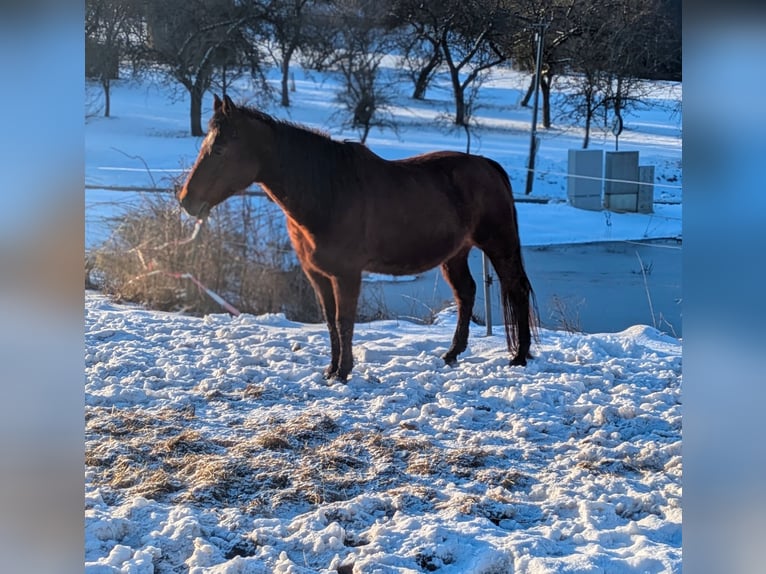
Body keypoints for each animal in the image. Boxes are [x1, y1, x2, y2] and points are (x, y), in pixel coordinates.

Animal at [178, 94, 538, 381]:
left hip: (499, 245)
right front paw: (330, 370)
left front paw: (343, 372)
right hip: (455, 254)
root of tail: (488, 165)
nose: (186, 200)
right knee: (466, 294)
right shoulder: (318, 275)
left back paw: (519, 357)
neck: (328, 192)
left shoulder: (347, 274)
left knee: (516, 289)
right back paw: (452, 354)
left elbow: (344, 320)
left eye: (220, 149)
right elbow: (329, 321)